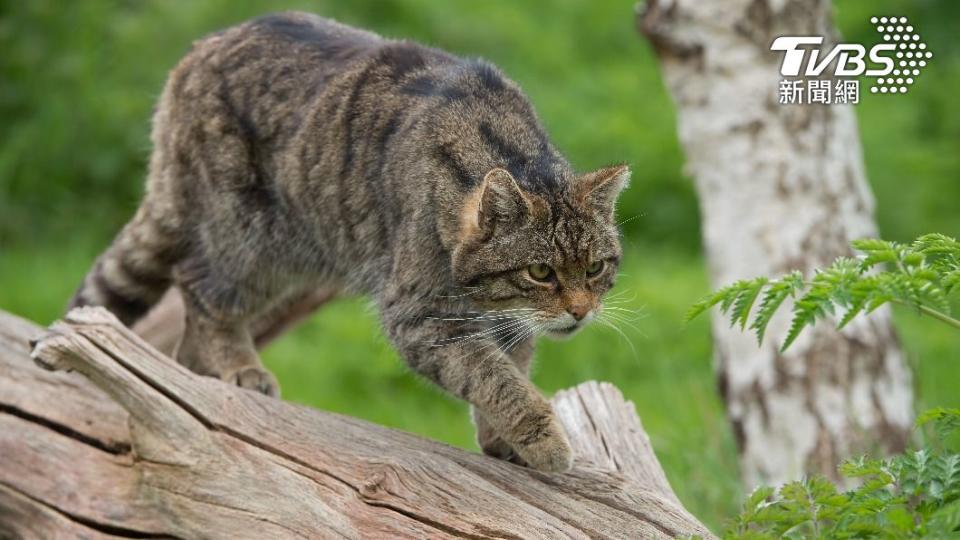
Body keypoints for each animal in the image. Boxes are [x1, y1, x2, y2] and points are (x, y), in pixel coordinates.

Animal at [73, 10, 632, 470]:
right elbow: (495, 378)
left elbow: (511, 369)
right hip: (252, 242)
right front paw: (543, 439)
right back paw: (239, 366)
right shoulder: (420, 317)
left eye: (595, 268)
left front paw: (502, 440)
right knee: (200, 287)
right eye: (541, 272)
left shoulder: (508, 324)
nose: (580, 311)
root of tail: (198, 51)